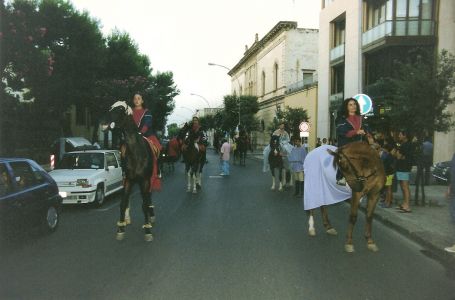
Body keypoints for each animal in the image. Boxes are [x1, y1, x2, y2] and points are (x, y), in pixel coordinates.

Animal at [100, 102, 158, 243]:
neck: (136, 152)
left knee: (148, 198)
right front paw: (121, 228)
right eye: (110, 107)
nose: (102, 122)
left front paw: (148, 230)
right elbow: (123, 203)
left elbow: (145, 205)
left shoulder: (145, 180)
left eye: (120, 109)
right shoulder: (128, 180)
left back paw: (151, 216)